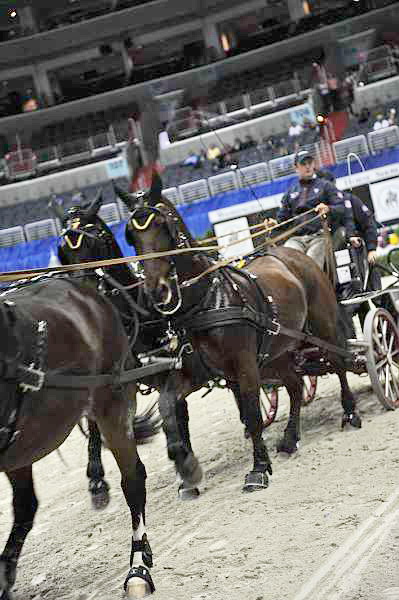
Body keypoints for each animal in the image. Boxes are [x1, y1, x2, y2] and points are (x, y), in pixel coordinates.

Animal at [115, 176, 362, 494]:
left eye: (162, 226)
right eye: (131, 235)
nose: (156, 290)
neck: (207, 301)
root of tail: (292, 253)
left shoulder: (244, 366)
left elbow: (253, 415)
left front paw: (258, 470)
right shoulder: (194, 373)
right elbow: (168, 407)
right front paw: (186, 468)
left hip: (323, 327)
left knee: (339, 363)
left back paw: (350, 412)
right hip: (278, 352)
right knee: (295, 386)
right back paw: (290, 438)